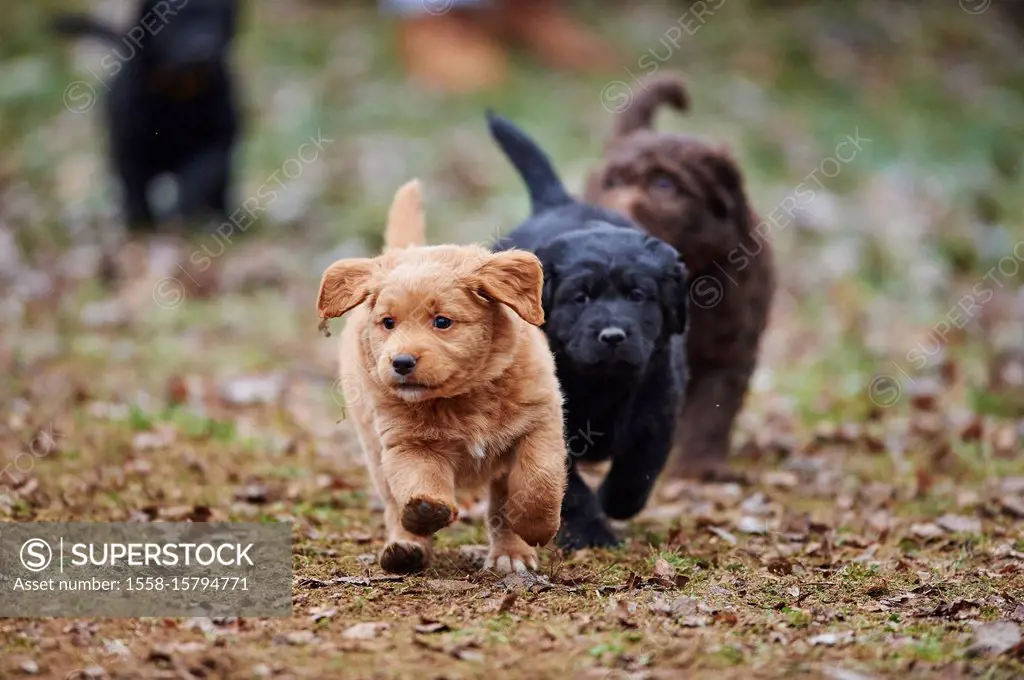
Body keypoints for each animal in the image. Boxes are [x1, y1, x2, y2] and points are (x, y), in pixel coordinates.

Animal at [54, 0, 241, 231]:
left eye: (215, 19)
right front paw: (141, 224)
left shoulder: (219, 136)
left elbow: (201, 172)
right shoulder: (128, 143)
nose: (204, 48)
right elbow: (133, 186)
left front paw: (185, 208)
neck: (179, 91)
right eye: (175, 23)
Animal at [315, 180, 565, 573]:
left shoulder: (540, 424)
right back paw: (405, 548)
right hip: (373, 447)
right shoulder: (407, 443)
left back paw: (510, 554)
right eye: (388, 323)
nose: (401, 362)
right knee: (392, 505)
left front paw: (534, 528)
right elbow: (419, 482)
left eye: (442, 321)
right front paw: (424, 513)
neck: (464, 397)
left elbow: (538, 482)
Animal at [485, 110, 688, 548]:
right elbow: (570, 487)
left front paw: (616, 502)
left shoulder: (659, 404)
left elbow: (639, 466)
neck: (602, 386)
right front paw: (591, 532)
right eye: (580, 298)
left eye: (637, 295)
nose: (612, 336)